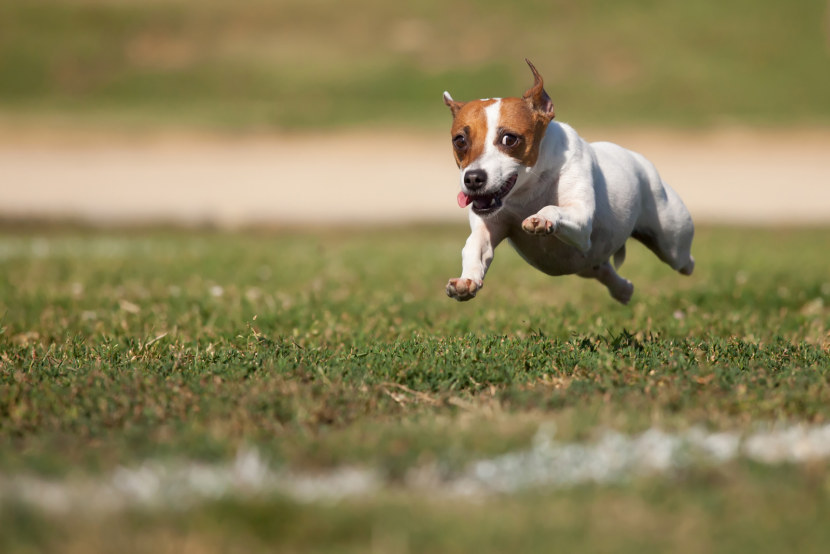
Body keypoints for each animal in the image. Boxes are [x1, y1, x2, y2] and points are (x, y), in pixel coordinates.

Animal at [446, 59, 700, 306]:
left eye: (509, 139)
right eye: (460, 141)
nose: (473, 178)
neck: (528, 191)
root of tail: (639, 160)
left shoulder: (581, 219)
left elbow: (554, 208)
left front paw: (542, 218)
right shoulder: (488, 227)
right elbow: (475, 247)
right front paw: (466, 281)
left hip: (672, 241)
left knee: (684, 260)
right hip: (586, 262)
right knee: (603, 269)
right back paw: (623, 290)